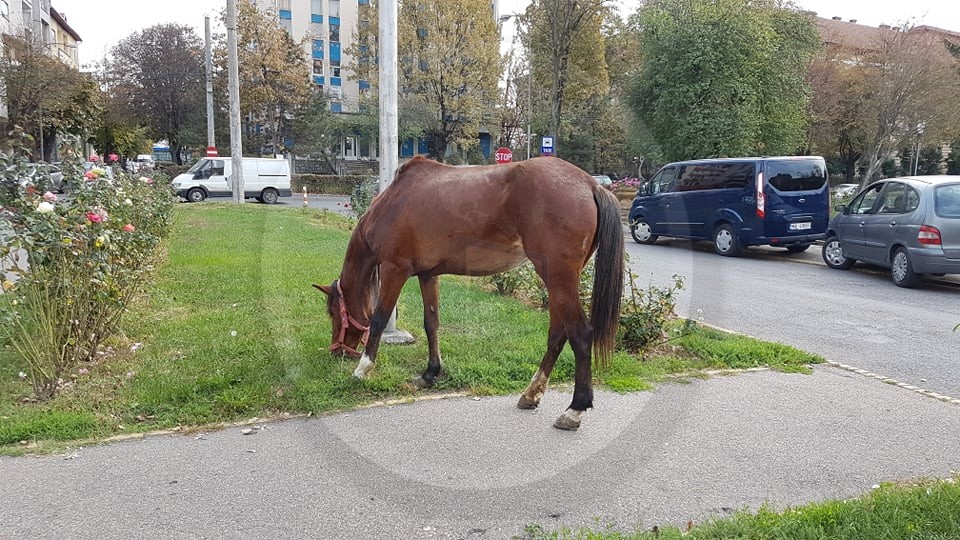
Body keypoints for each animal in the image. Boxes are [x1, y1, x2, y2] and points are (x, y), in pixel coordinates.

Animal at [315, 156, 624, 430]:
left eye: (333, 313)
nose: (337, 352)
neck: (394, 201)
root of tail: (590, 185)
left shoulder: (394, 269)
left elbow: (379, 319)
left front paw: (362, 369)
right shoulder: (428, 275)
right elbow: (431, 323)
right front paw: (430, 373)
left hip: (558, 278)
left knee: (580, 333)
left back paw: (574, 410)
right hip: (559, 282)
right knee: (558, 333)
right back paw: (531, 393)